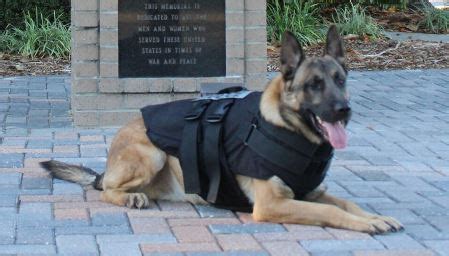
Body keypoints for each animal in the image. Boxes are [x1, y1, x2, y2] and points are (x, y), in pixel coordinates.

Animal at [42, 25, 402, 234]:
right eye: (314, 84)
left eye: (340, 80)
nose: (344, 110)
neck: (287, 128)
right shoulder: (272, 204)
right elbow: (330, 211)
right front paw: (367, 223)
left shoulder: (311, 192)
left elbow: (346, 204)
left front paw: (374, 216)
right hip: (152, 155)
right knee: (104, 189)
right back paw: (129, 197)